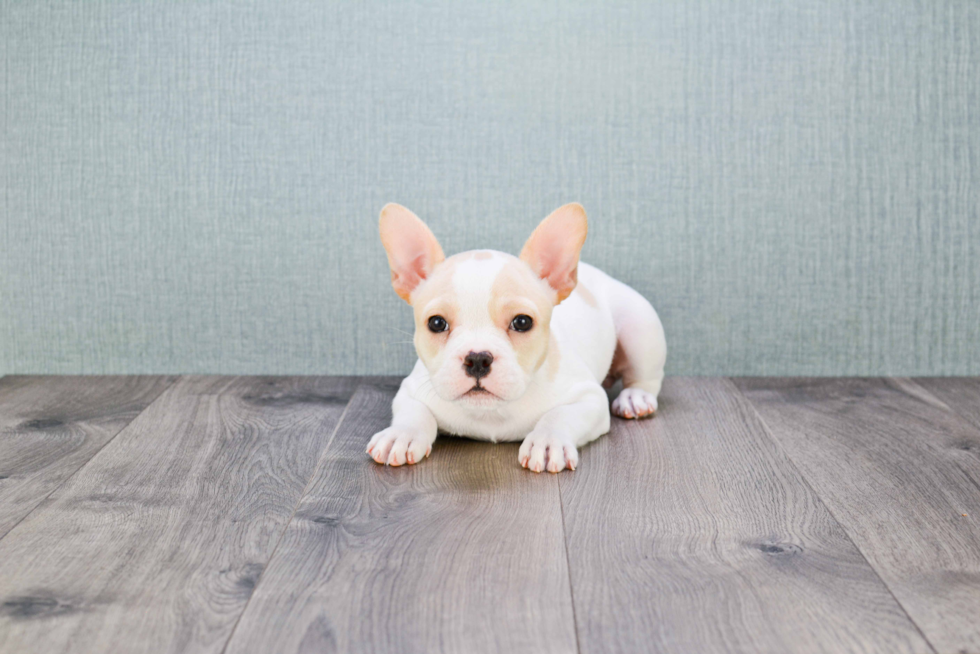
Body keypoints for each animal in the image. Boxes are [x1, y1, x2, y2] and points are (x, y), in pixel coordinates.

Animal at [368, 202, 668, 474]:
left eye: (522, 322)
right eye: (436, 323)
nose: (478, 359)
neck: (490, 412)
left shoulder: (589, 398)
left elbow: (560, 414)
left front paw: (547, 440)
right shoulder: (411, 390)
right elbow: (414, 412)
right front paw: (401, 434)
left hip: (640, 326)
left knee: (645, 378)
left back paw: (635, 398)